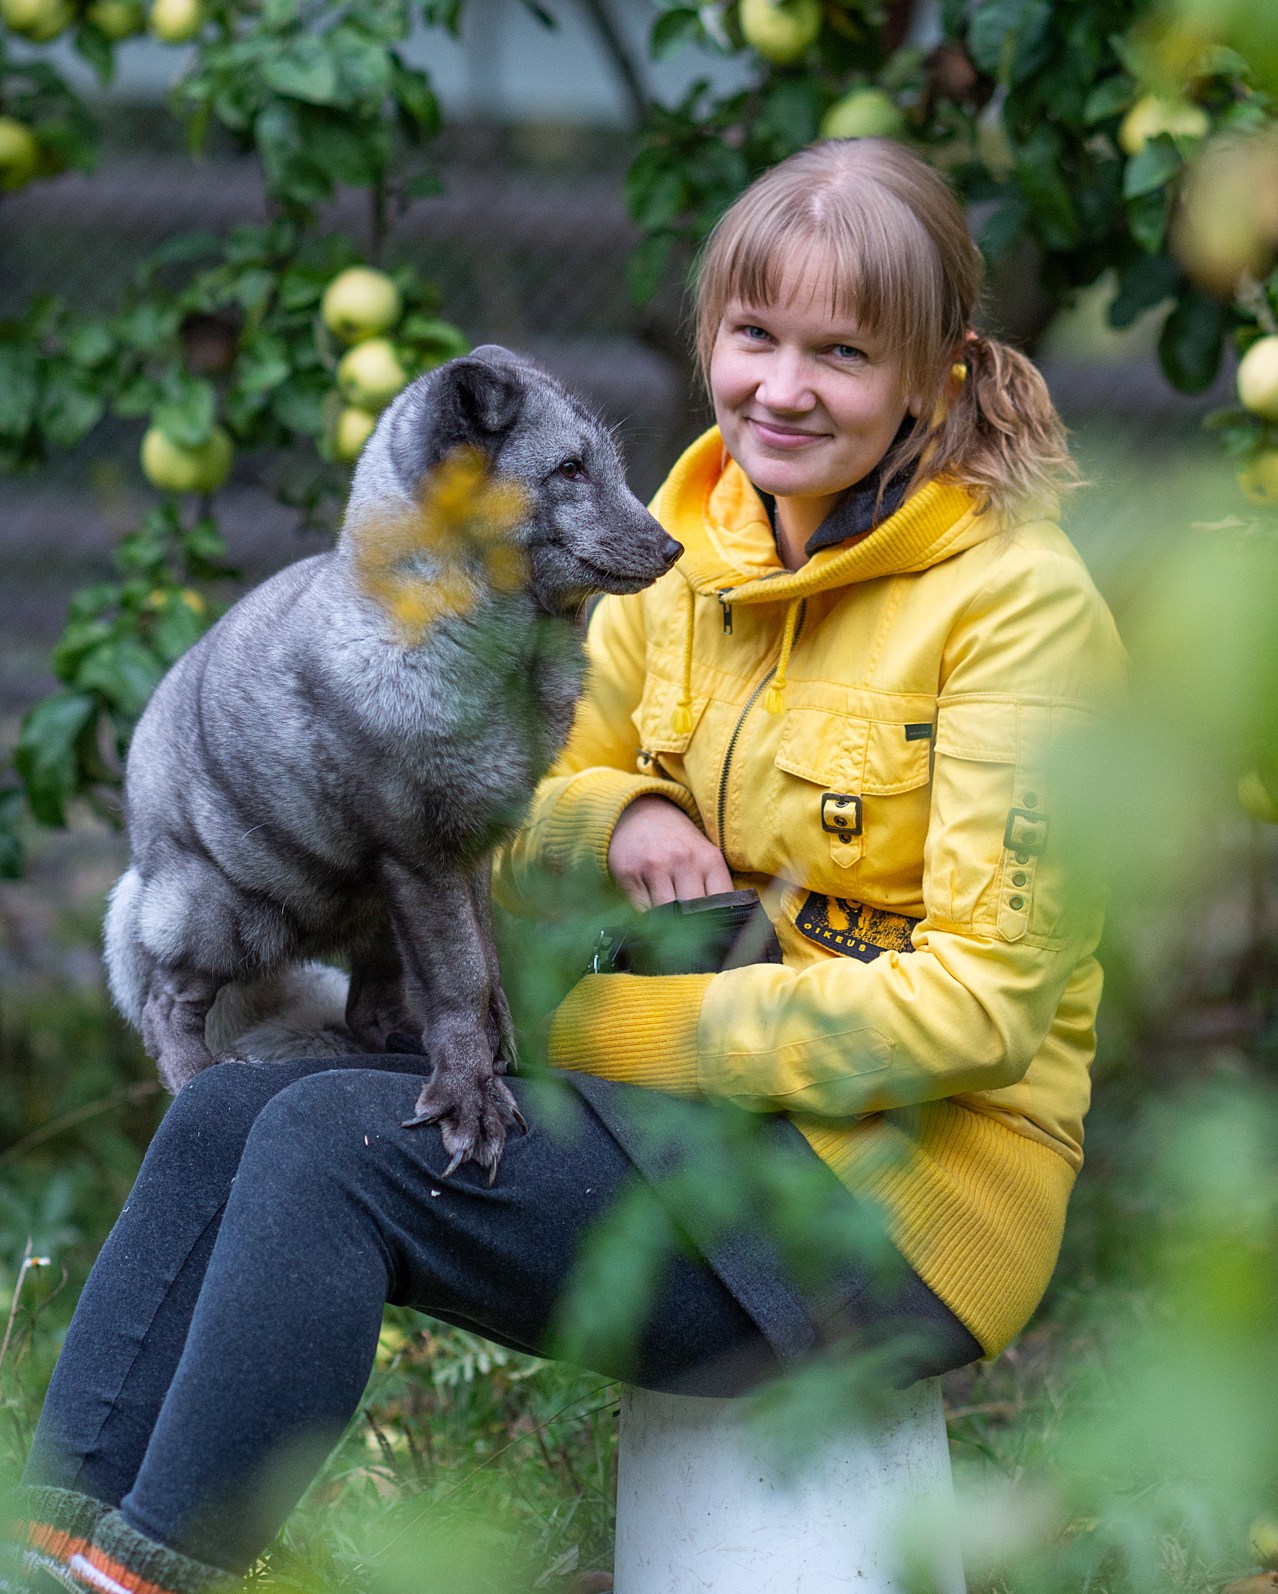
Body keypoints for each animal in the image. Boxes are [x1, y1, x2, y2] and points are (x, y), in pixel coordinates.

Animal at [104, 345, 682, 1178]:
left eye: (607, 466)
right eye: (570, 469)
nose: (672, 548)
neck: (508, 668)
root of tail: (140, 858)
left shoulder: (472, 850)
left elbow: (486, 975)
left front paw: (497, 1066)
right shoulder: (422, 852)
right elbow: (464, 980)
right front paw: (474, 1102)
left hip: (372, 906)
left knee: (368, 1008)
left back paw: (401, 1047)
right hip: (244, 914)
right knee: (162, 1004)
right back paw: (197, 1076)